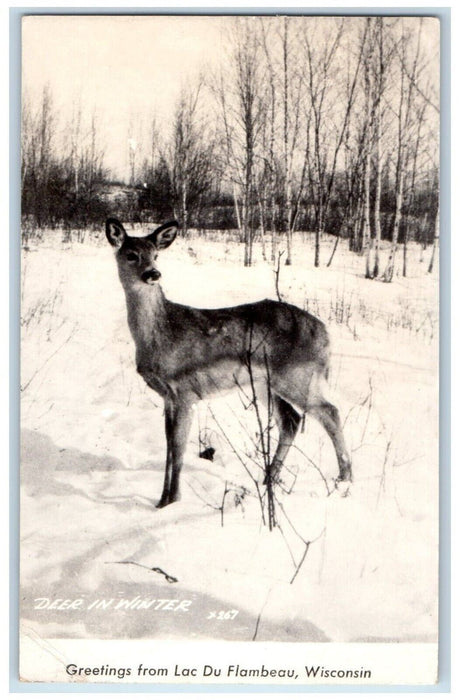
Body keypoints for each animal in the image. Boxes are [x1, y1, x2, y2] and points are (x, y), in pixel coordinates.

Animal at [105, 216, 352, 506]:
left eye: (156, 255)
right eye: (131, 255)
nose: (153, 274)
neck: (162, 334)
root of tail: (326, 334)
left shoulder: (185, 391)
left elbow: (178, 447)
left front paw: (173, 501)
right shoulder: (168, 396)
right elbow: (168, 446)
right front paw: (162, 500)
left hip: (298, 377)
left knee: (330, 412)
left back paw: (345, 479)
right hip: (266, 384)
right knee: (291, 420)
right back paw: (269, 480)